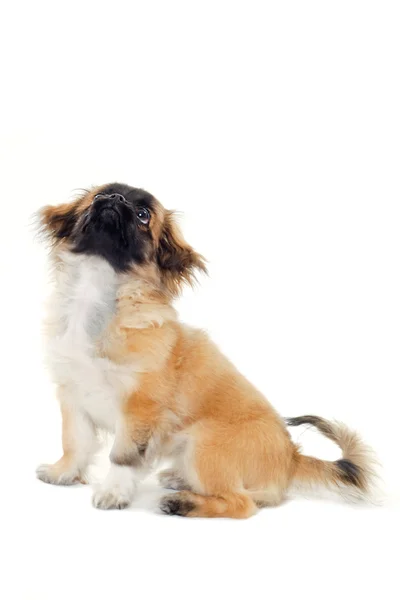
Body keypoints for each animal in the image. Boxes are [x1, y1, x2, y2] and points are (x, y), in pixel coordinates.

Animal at [36, 183, 376, 516]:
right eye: (100, 195)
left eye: (144, 215)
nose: (114, 199)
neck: (96, 293)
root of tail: (291, 457)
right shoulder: (73, 395)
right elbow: (75, 443)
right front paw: (63, 473)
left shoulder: (139, 409)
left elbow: (123, 456)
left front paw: (113, 492)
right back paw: (179, 479)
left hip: (204, 443)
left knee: (242, 502)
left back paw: (183, 502)